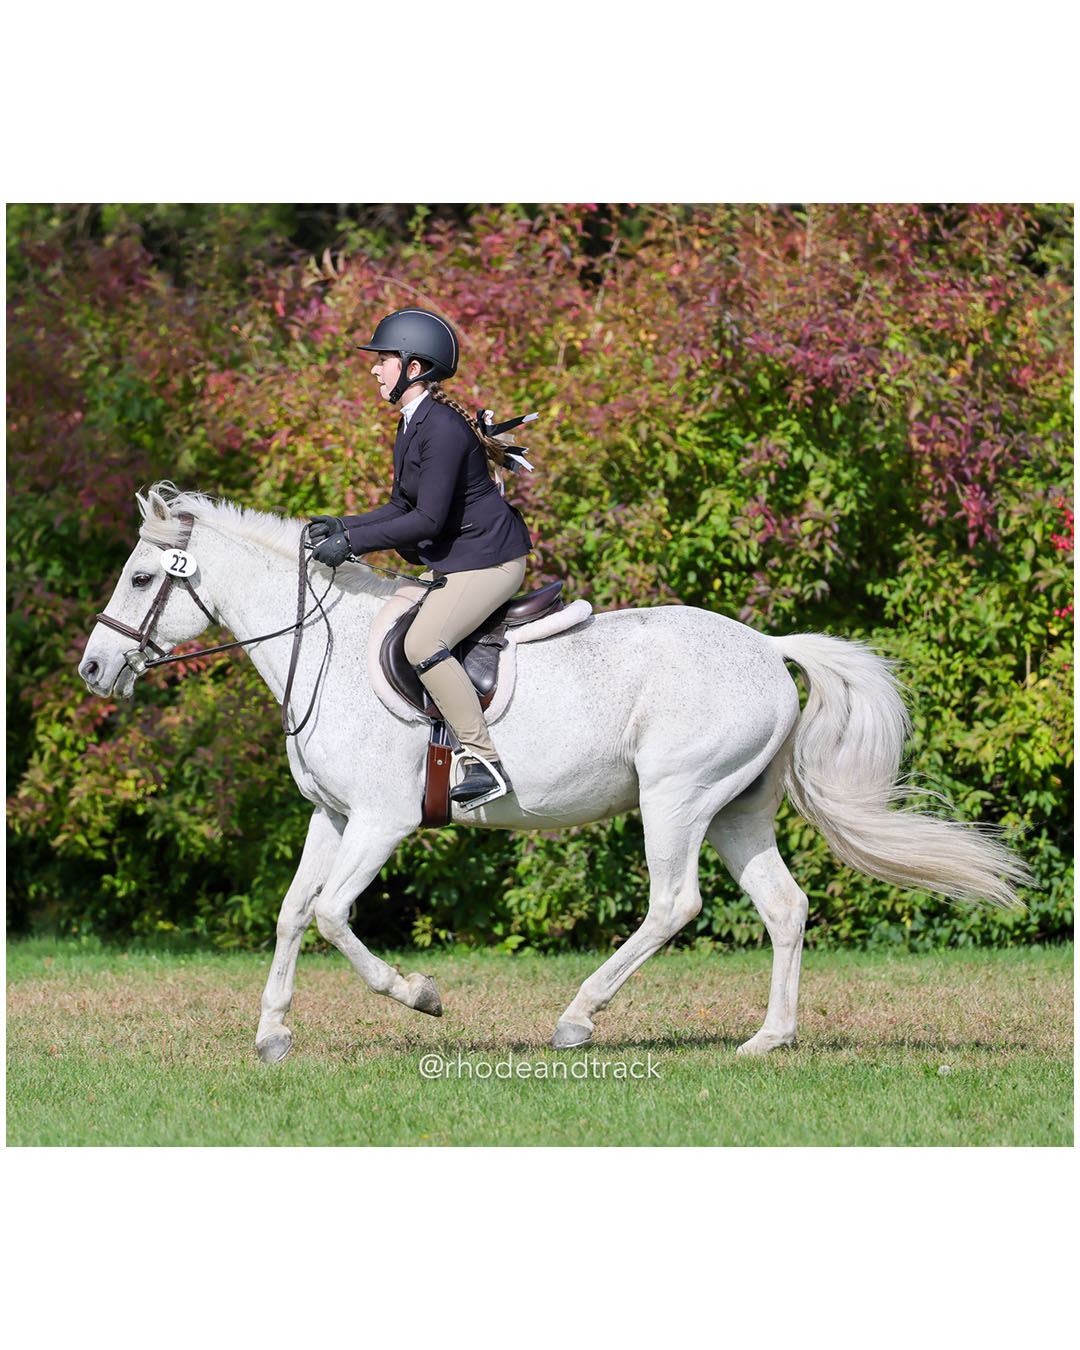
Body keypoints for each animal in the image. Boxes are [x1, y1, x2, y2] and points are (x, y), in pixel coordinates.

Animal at [78, 484, 1028, 1062]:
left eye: (140, 578)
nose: (92, 670)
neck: (328, 648)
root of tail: (767, 646)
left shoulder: (382, 821)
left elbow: (333, 916)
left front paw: (419, 995)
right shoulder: (334, 818)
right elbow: (290, 914)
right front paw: (274, 1033)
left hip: (675, 797)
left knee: (674, 903)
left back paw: (578, 1017)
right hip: (734, 811)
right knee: (785, 907)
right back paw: (768, 1039)